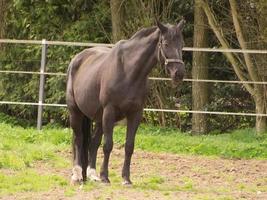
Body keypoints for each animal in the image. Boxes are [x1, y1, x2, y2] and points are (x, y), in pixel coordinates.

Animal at [66, 19, 185, 184]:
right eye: (166, 44)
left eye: (182, 44)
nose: (179, 73)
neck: (129, 71)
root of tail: (77, 59)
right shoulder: (109, 111)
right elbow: (108, 145)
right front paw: (105, 176)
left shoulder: (135, 114)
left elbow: (129, 146)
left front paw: (126, 178)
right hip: (76, 112)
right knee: (78, 139)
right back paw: (77, 175)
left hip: (98, 118)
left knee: (93, 143)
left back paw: (92, 174)